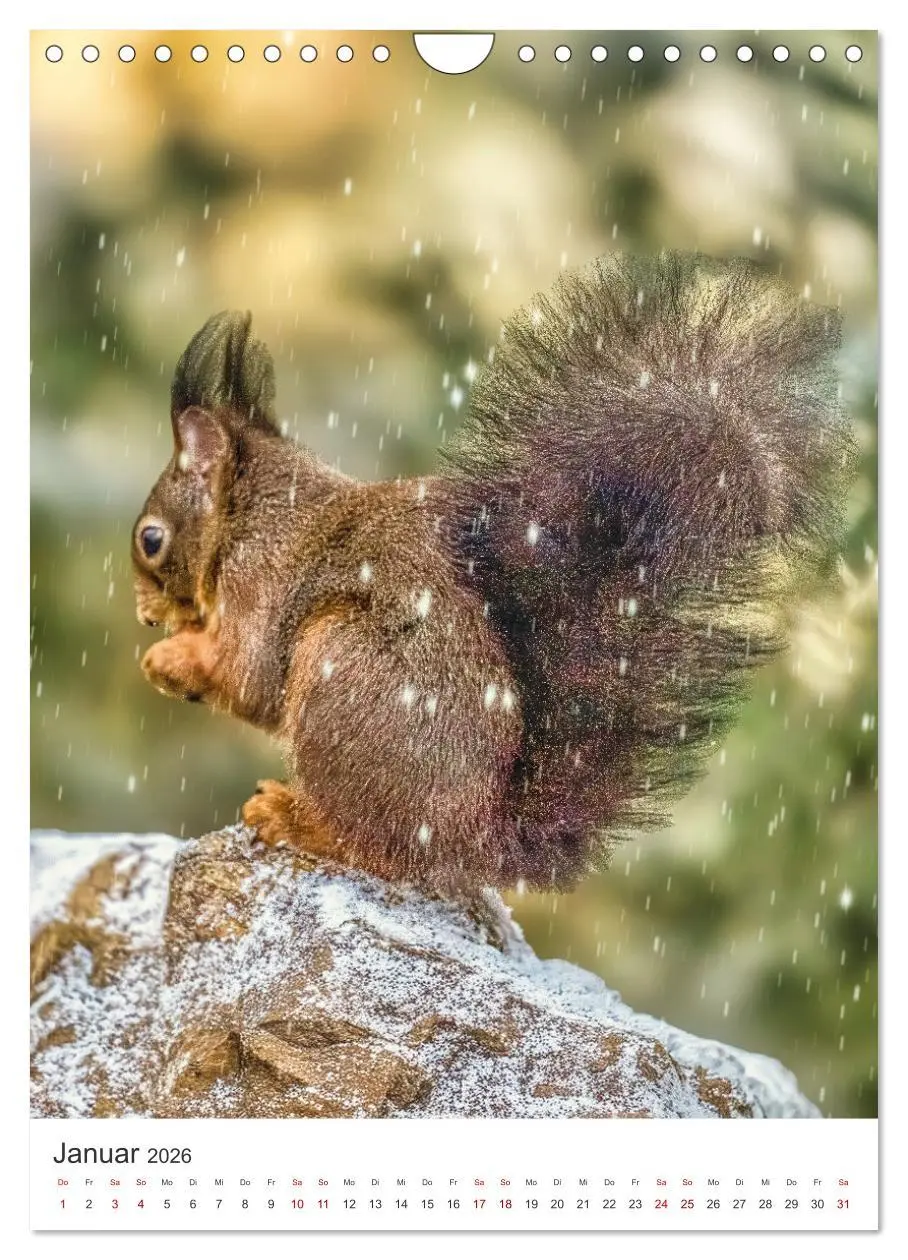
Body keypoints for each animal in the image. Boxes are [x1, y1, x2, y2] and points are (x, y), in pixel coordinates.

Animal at [132, 251, 854, 893]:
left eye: (150, 539)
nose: (143, 615)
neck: (252, 514)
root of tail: (473, 840)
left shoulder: (258, 582)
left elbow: (247, 677)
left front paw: (169, 659)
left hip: (344, 668)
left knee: (373, 849)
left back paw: (294, 819)